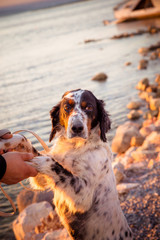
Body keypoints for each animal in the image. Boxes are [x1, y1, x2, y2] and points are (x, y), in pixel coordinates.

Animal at [0, 89, 134, 239]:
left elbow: (56, 166)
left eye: (89, 107)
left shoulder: (83, 195)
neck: (76, 146)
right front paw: (10, 141)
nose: (77, 128)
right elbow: (26, 142)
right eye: (66, 107)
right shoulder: (42, 178)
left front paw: (42, 160)